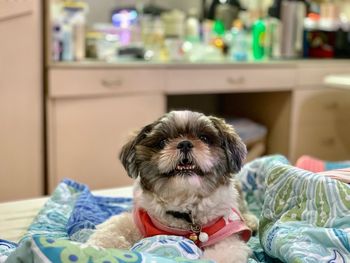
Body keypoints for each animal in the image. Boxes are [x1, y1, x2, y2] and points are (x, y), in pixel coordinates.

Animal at [87, 110, 258, 262]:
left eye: (204, 138)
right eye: (162, 142)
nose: (185, 143)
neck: (187, 216)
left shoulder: (227, 235)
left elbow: (226, 251)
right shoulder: (138, 220)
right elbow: (114, 227)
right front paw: (98, 249)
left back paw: (250, 220)